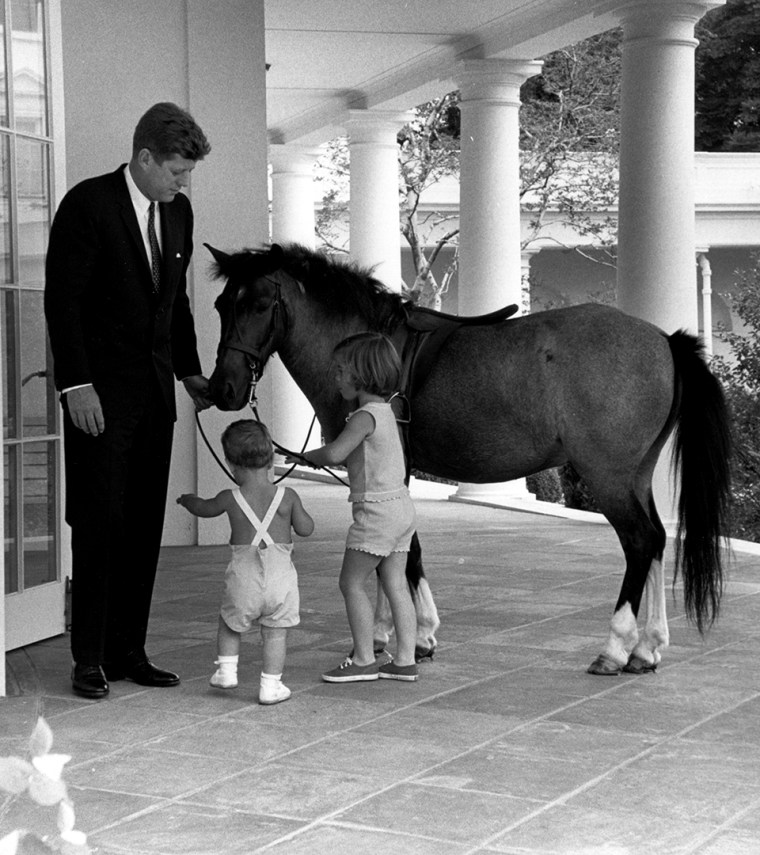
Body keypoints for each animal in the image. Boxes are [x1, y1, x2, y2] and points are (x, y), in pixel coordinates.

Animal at [202, 241, 732, 676]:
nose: (223, 388)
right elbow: (394, 548)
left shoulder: (378, 471)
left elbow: (398, 550)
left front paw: (409, 637)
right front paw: (397, 632)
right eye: (222, 305)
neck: (369, 346)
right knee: (659, 539)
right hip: (636, 474)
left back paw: (616, 648)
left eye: (257, 304)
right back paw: (648, 648)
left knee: (640, 541)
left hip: (608, 476)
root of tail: (664, 341)